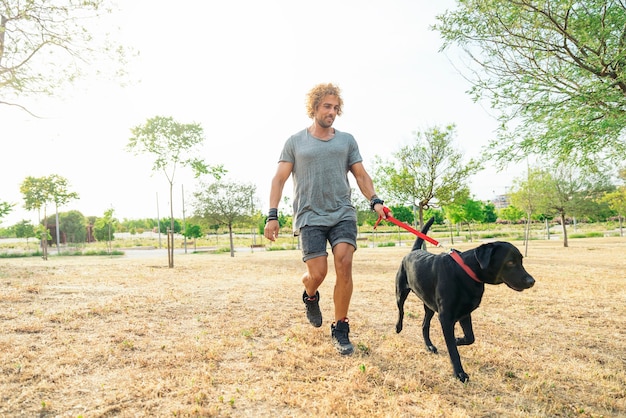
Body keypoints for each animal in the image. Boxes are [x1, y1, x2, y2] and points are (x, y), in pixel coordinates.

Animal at [394, 217, 532, 384]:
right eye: (510, 262)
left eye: (521, 260)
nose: (532, 281)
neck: (466, 271)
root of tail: (414, 251)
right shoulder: (446, 318)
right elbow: (453, 351)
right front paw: (459, 373)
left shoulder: (465, 313)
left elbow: (470, 337)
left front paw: (457, 339)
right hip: (401, 293)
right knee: (401, 311)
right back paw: (398, 327)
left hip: (429, 305)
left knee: (424, 325)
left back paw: (429, 346)